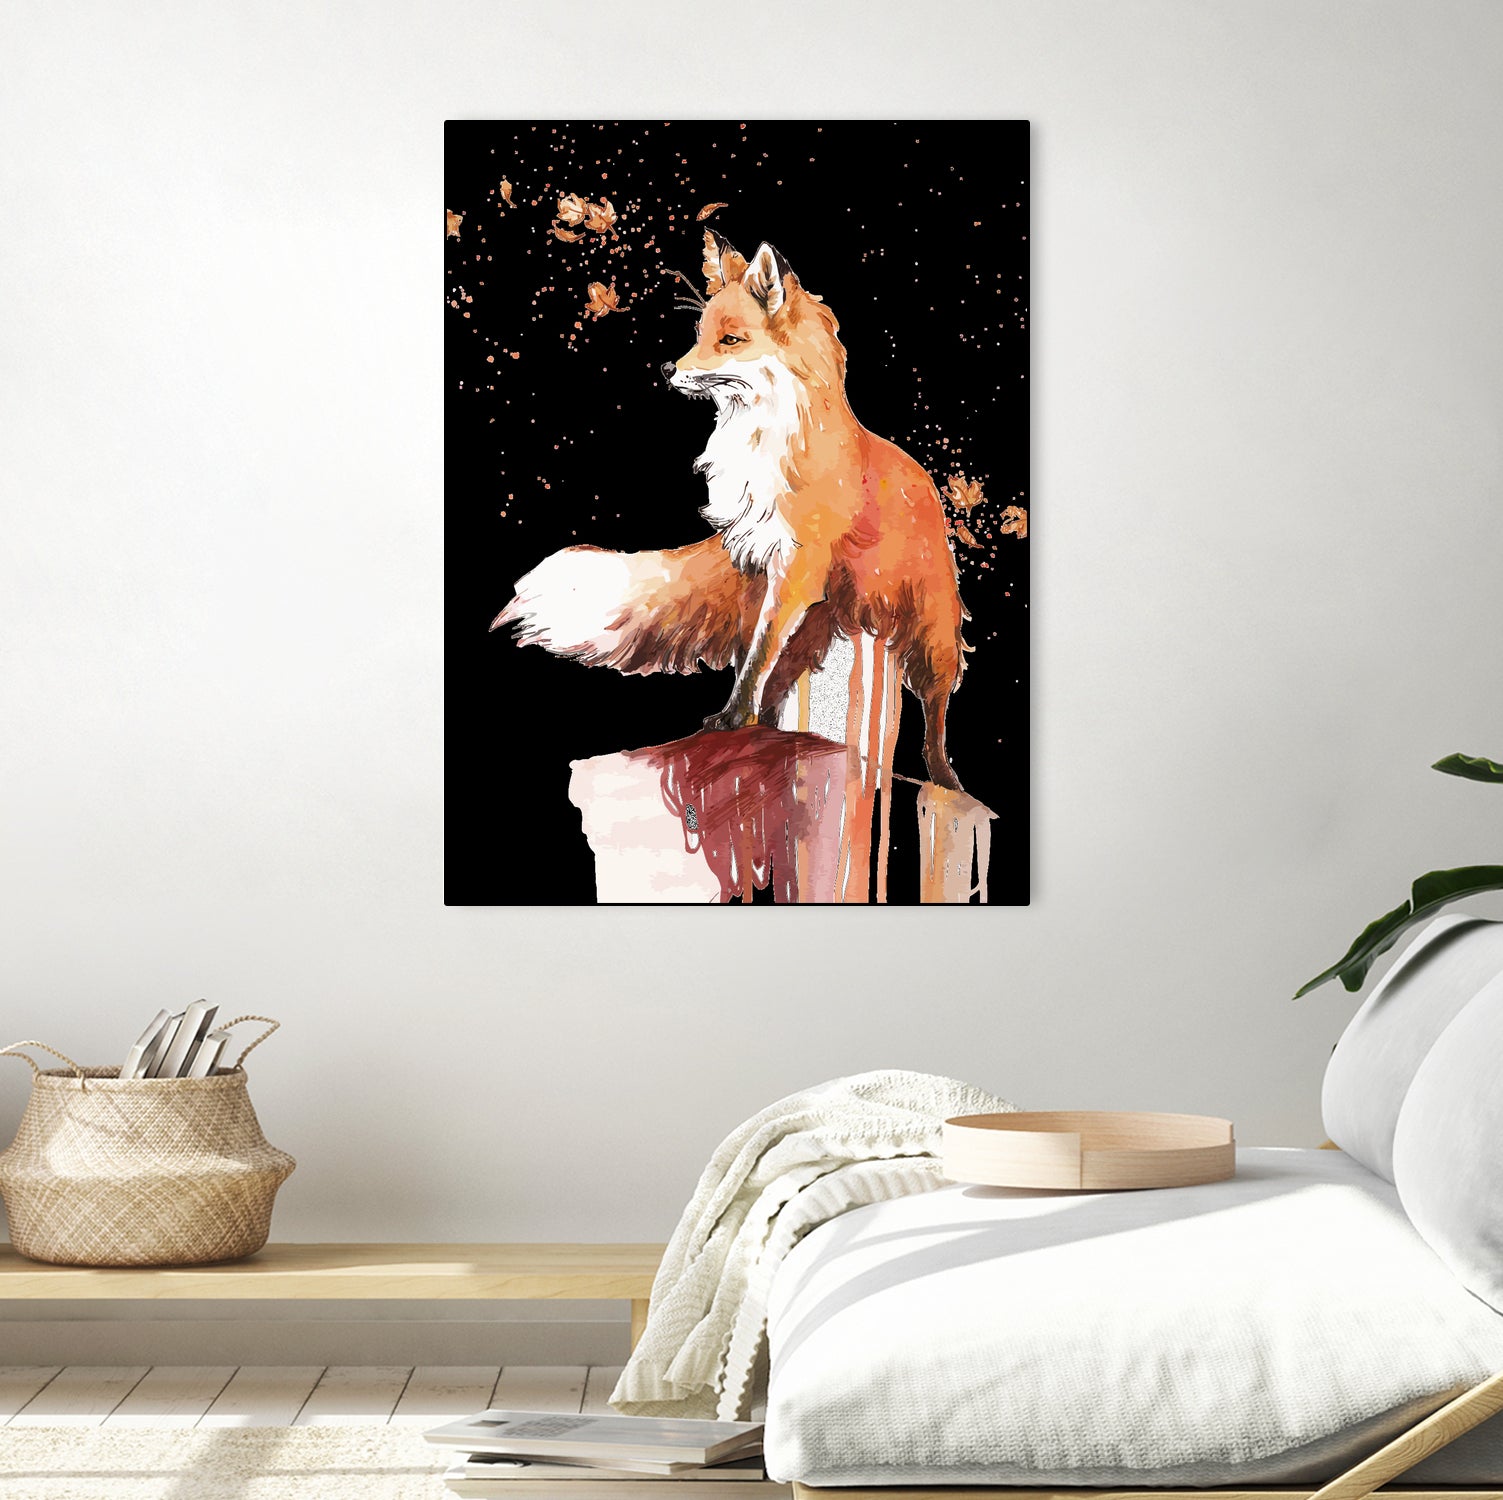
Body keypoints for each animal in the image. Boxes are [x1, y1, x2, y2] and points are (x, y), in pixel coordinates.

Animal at [493, 230, 970, 790]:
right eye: (699, 334)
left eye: (730, 341)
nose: (668, 369)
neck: (759, 448)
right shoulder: (753, 564)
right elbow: (752, 656)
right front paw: (736, 718)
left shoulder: (795, 568)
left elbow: (758, 655)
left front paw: (733, 717)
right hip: (818, 625)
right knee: (784, 681)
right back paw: (773, 731)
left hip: (931, 630)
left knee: (935, 711)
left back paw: (945, 778)